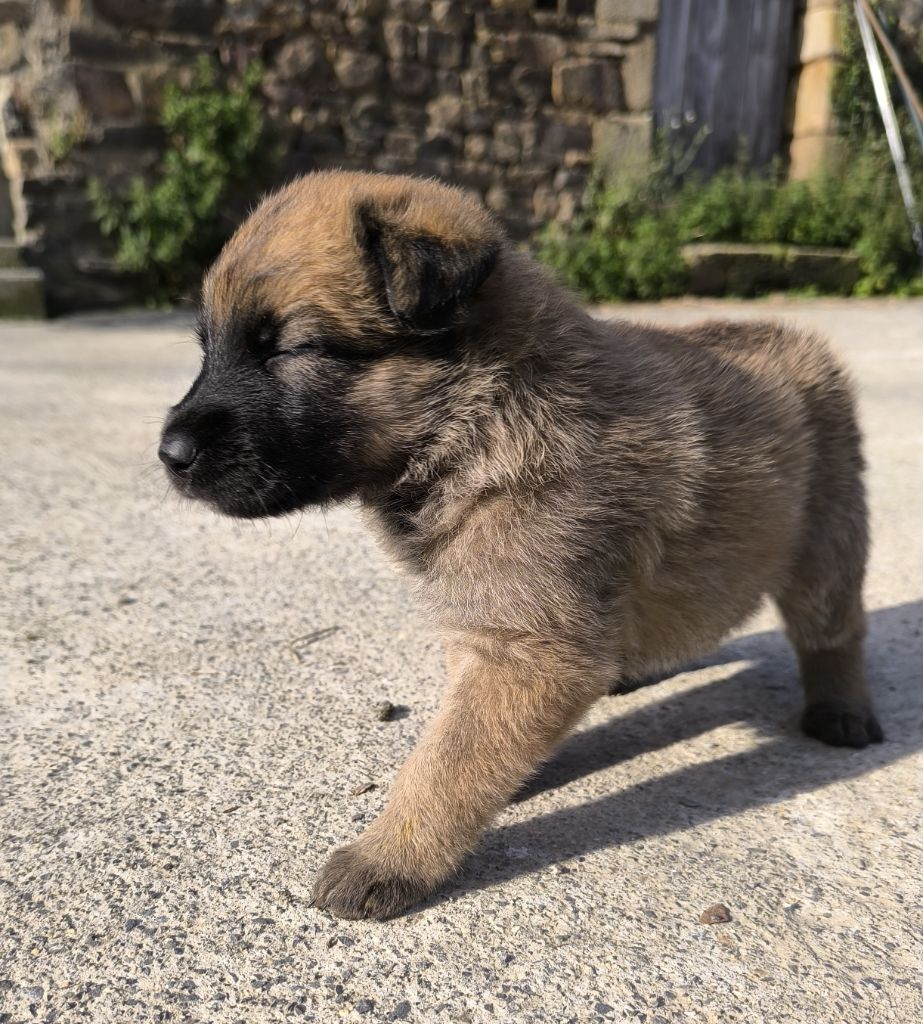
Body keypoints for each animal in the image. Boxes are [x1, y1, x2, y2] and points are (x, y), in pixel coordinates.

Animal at [158, 169, 876, 921]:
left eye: (290, 350)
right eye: (208, 349)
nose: (169, 453)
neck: (482, 416)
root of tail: (795, 336)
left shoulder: (529, 650)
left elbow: (452, 760)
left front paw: (388, 855)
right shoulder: (489, 626)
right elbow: (469, 729)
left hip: (826, 546)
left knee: (834, 631)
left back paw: (842, 710)